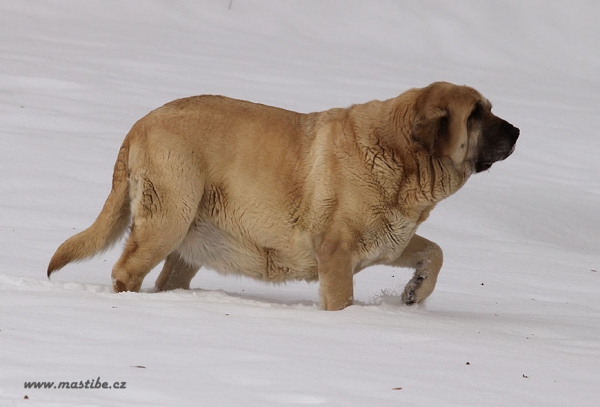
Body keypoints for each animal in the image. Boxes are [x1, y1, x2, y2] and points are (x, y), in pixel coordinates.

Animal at [48, 83, 516, 312]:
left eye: (490, 108)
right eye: (476, 114)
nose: (516, 131)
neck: (401, 156)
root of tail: (139, 124)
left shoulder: (390, 239)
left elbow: (434, 252)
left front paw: (415, 292)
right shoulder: (337, 254)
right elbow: (341, 302)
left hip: (187, 243)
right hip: (168, 219)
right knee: (126, 271)